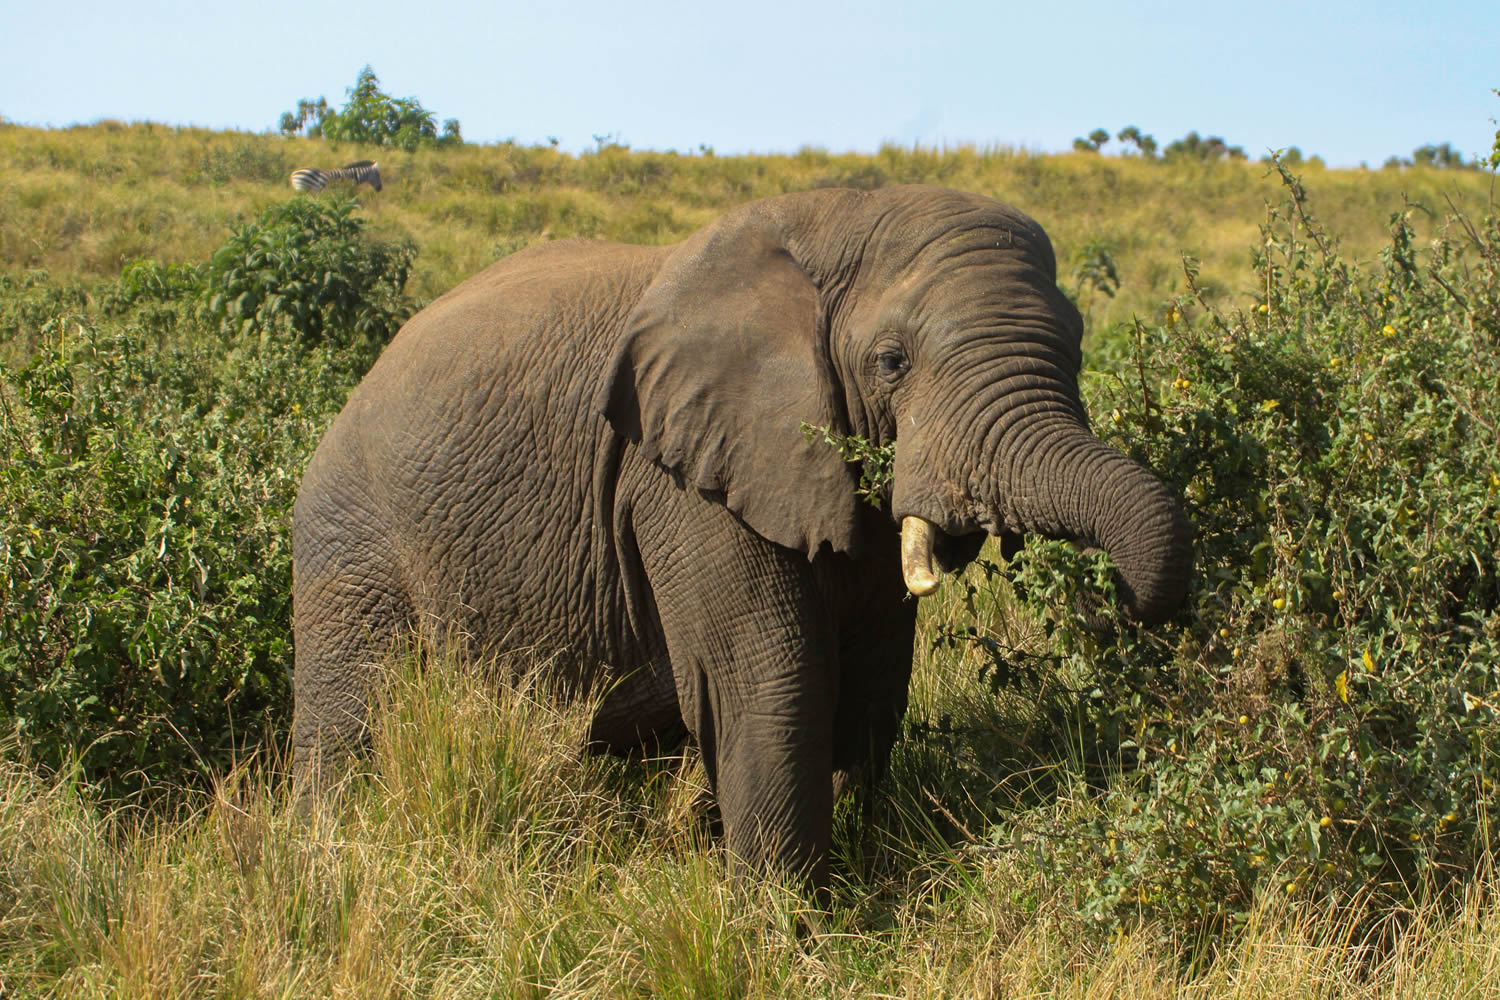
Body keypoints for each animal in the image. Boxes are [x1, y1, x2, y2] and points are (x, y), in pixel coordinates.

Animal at [291, 184, 1192, 888]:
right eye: (892, 361)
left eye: (1077, 345)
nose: (1111, 600)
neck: (840, 215)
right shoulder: (681, 480)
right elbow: (767, 676)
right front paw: (788, 930)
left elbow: (875, 678)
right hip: (348, 538)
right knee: (353, 721)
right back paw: (326, 860)